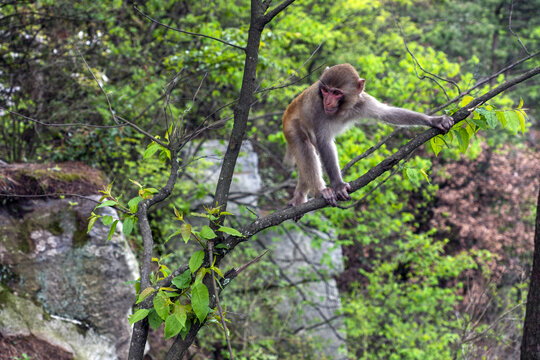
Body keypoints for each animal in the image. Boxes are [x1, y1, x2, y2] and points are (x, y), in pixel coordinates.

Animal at [284, 63, 454, 207]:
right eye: (325, 90)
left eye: (336, 93)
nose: (327, 102)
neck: (342, 109)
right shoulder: (319, 109)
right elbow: (324, 141)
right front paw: (338, 186)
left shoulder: (362, 101)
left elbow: (387, 113)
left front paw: (435, 120)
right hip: (291, 127)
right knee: (305, 147)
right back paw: (319, 192)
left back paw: (300, 195)